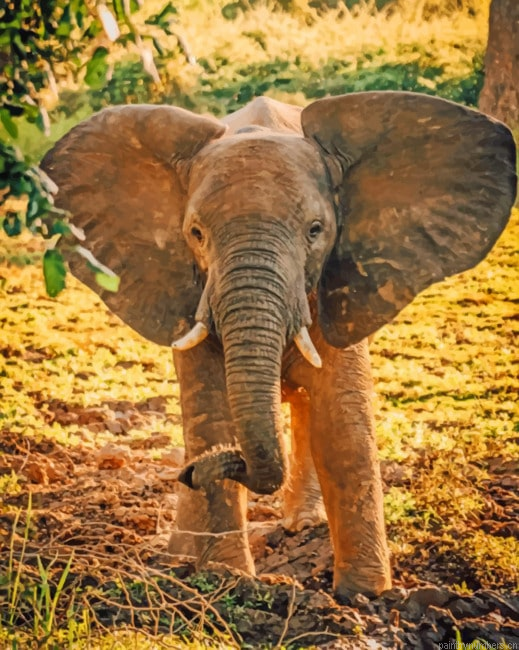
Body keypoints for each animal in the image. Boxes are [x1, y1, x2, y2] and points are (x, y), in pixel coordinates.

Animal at [41, 91, 517, 599]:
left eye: (316, 230)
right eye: (196, 234)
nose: (194, 472)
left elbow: (343, 425)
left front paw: (364, 596)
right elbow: (210, 414)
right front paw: (225, 577)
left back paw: (300, 526)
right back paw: (183, 556)